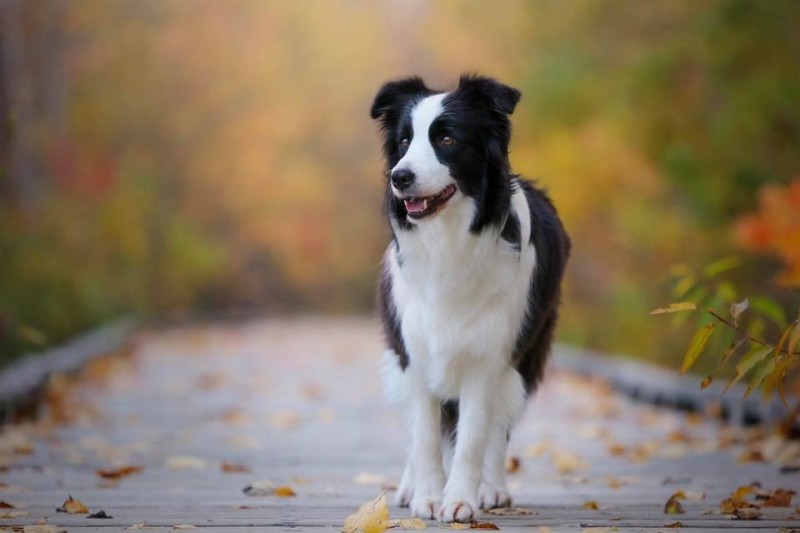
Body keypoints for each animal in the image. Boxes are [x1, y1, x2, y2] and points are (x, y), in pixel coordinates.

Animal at [374, 76, 568, 524]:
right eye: (405, 140)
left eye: (447, 138)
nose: (400, 177)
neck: (448, 240)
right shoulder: (415, 352)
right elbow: (425, 437)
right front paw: (427, 497)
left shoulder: (488, 357)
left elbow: (473, 439)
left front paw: (460, 500)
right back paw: (409, 486)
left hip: (521, 359)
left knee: (498, 426)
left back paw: (492, 488)